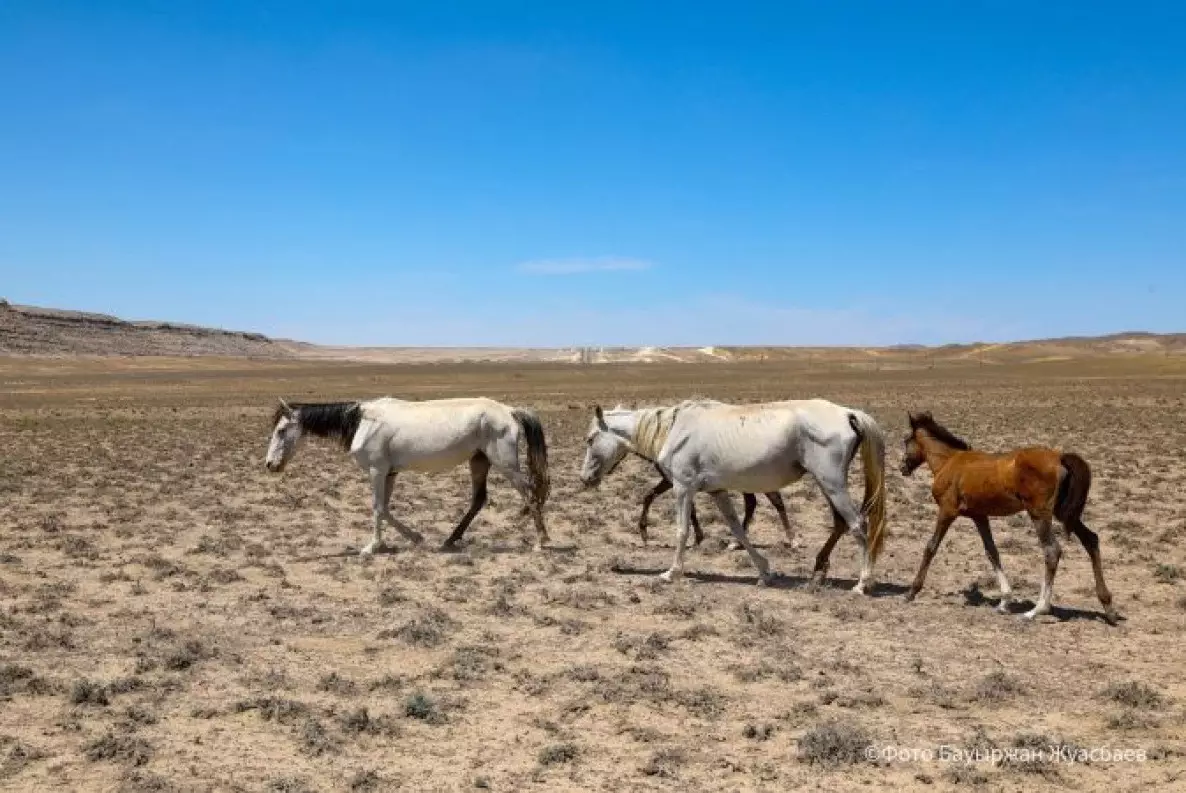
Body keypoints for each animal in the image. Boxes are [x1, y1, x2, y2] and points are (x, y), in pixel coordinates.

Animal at [264, 393, 550, 550]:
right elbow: (385, 508)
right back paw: (450, 540)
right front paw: (412, 538)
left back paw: (541, 541)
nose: (270, 465)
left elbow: (377, 507)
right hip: (479, 462)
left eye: (281, 431)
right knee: (479, 499)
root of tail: (510, 411)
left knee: (530, 493)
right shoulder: (389, 473)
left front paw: (372, 547)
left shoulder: (377, 471)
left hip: (505, 465)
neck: (362, 423)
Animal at [578, 398, 887, 590]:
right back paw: (819, 573)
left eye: (590, 439)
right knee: (840, 523)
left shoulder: (682, 487)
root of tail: (848, 413)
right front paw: (764, 572)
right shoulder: (718, 491)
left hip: (832, 482)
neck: (672, 429)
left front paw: (671, 572)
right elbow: (737, 528)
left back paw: (862, 583)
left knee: (858, 524)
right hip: (827, 485)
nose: (585, 478)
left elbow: (682, 530)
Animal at [901, 407, 1114, 625]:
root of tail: (1059, 456)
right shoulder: (980, 516)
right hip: (1064, 512)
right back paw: (1108, 607)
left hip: (1039, 513)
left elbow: (931, 547)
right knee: (1091, 540)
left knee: (1052, 551)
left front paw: (912, 592)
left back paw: (1036, 610)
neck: (948, 462)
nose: (903, 468)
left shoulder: (947, 510)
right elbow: (991, 551)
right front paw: (1004, 602)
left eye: (906, 440)